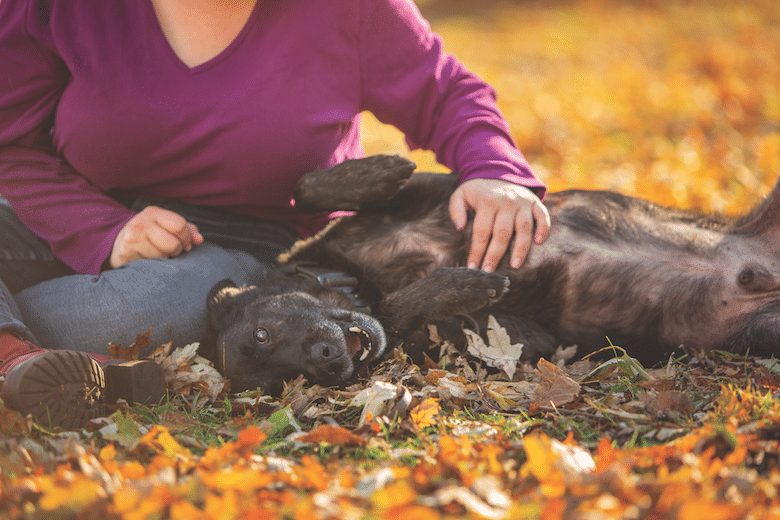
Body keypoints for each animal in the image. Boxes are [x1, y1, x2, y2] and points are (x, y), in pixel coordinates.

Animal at [203, 156, 780, 392]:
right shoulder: (525, 339)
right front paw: (455, 284)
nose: (325, 362)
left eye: (264, 332)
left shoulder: (448, 194)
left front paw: (375, 170)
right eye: (288, 380)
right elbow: (401, 307)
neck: (358, 276)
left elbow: (304, 186)